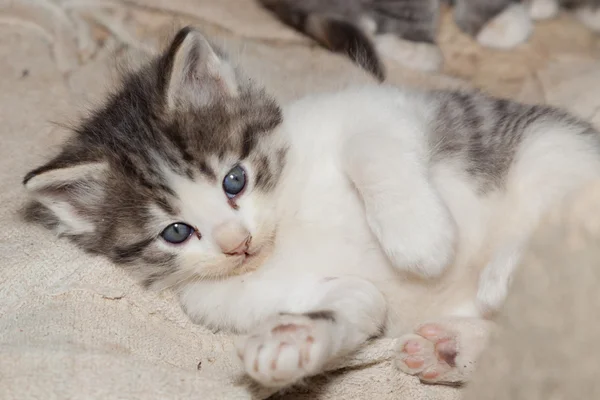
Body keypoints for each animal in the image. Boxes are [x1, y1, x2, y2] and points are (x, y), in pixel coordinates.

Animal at [21, 26, 600, 390]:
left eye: (235, 179)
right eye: (177, 232)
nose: (238, 244)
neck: (287, 220)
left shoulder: (379, 107)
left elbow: (369, 147)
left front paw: (420, 242)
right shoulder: (231, 301)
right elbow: (354, 302)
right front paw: (293, 339)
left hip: (552, 144)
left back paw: (504, 270)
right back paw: (454, 347)